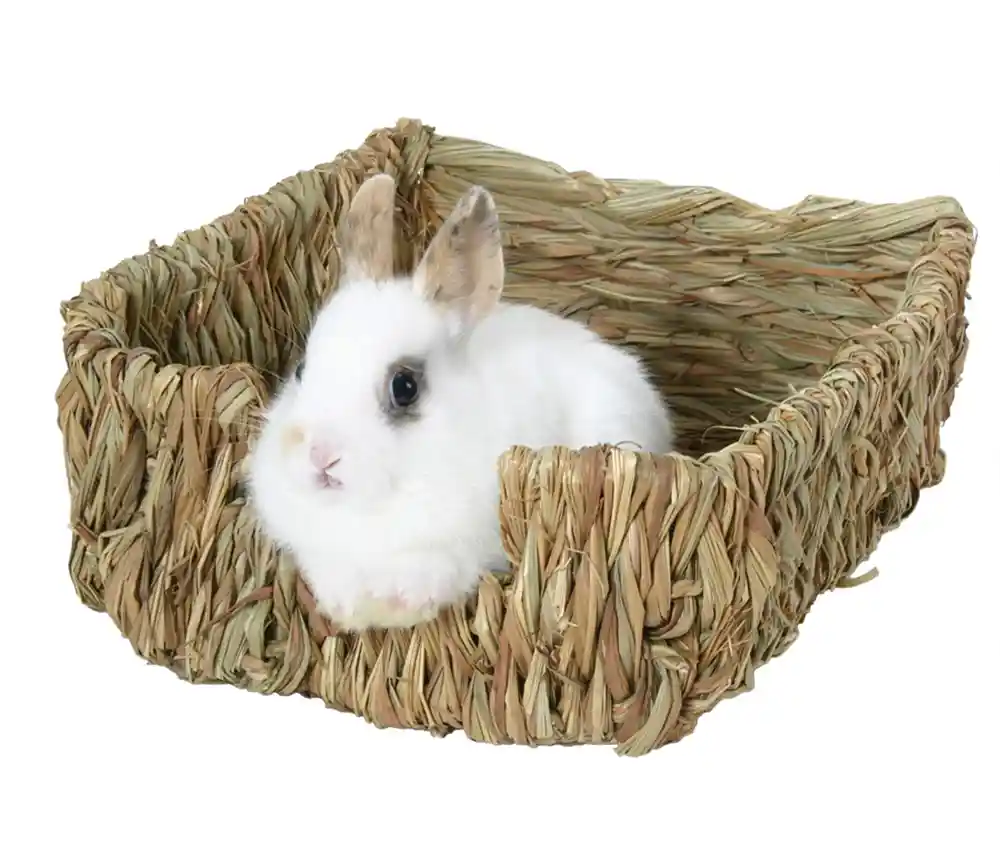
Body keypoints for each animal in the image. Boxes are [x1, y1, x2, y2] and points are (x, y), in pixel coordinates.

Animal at [246, 173, 674, 631]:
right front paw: (351, 611)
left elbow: (440, 573)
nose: (320, 455)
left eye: (404, 387)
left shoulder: (464, 548)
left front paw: (398, 607)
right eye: (301, 370)